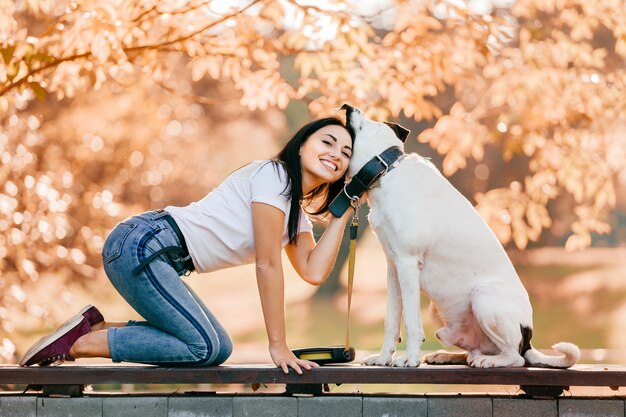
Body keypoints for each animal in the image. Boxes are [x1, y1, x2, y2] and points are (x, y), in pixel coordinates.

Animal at [342, 105, 580, 368]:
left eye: (363, 120)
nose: (347, 106)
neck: (387, 172)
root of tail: (527, 337)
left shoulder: (408, 263)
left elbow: (411, 324)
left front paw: (410, 359)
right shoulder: (394, 270)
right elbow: (391, 320)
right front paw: (384, 357)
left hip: (483, 297)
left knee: (514, 357)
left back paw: (490, 361)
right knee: (472, 353)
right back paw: (445, 356)